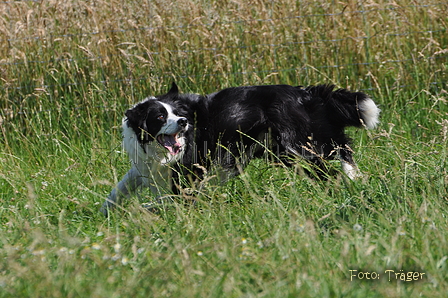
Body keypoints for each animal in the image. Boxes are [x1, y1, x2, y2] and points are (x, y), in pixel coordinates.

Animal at [100, 82, 380, 215]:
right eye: (159, 116)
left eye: (178, 114)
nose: (183, 122)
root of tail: (307, 93)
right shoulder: (145, 168)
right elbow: (119, 189)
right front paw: (103, 213)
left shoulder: (187, 173)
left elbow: (169, 200)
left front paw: (147, 211)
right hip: (287, 152)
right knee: (338, 151)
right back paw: (352, 181)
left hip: (298, 146)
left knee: (336, 159)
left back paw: (346, 184)